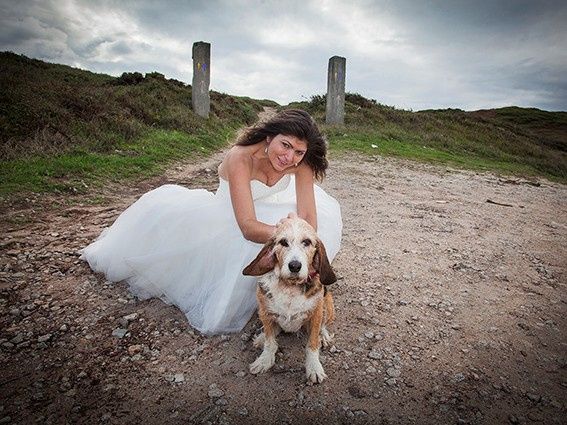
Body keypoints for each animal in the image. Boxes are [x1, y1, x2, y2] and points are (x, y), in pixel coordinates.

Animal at [243, 214, 338, 382]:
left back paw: (324, 336)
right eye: (283, 242)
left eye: (307, 242)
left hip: (328, 305)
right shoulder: (265, 312)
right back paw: (261, 337)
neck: (289, 287)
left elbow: (312, 344)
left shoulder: (316, 314)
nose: (294, 266)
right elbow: (270, 342)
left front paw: (314, 367)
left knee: (323, 326)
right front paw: (265, 360)